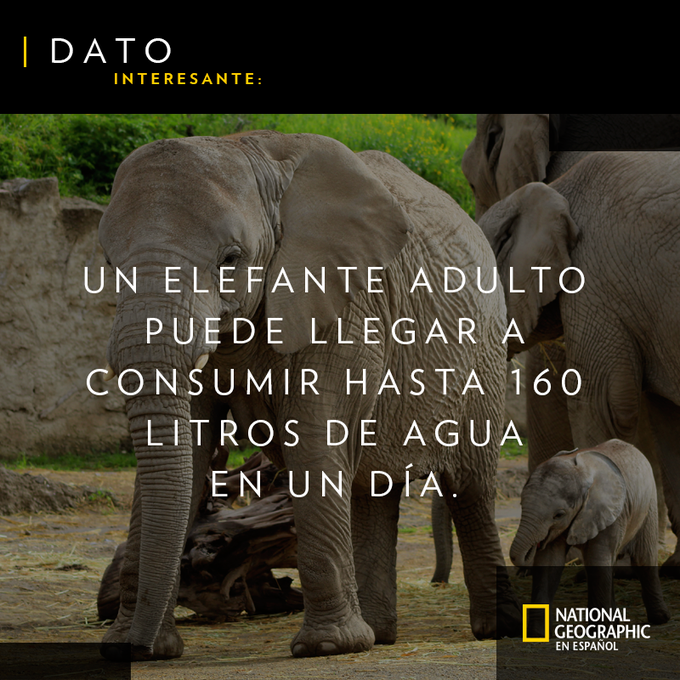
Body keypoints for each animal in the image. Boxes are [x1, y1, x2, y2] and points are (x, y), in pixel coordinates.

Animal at [96, 130, 521, 661]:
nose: (132, 648)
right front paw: (140, 646)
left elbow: (314, 435)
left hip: (485, 350)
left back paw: (493, 629)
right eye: (108, 264)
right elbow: (188, 449)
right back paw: (377, 634)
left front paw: (327, 647)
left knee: (470, 483)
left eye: (231, 259)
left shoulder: (344, 303)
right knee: (372, 485)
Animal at [510, 439, 670, 631]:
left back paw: (660, 619)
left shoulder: (609, 513)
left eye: (559, 515)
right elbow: (549, 562)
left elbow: (596, 558)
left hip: (648, 504)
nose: (535, 546)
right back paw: (616, 623)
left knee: (643, 558)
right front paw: (536, 632)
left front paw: (599, 631)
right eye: (521, 504)